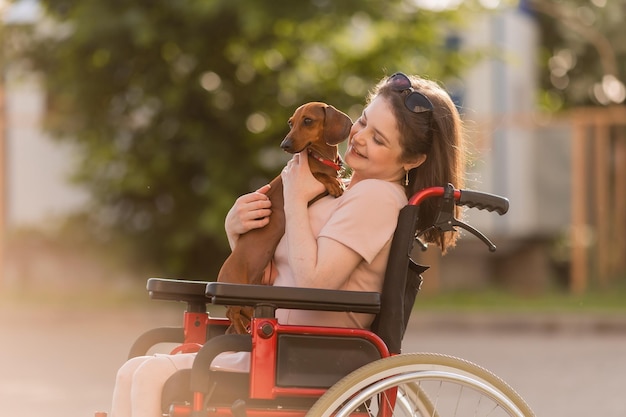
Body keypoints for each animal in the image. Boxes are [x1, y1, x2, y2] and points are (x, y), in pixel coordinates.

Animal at [216, 102, 352, 334]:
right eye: (290, 122)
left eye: (308, 120)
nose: (284, 145)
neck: (321, 158)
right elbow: (320, 176)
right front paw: (334, 184)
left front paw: (339, 181)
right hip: (235, 292)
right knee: (231, 314)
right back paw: (242, 331)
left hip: (248, 302)